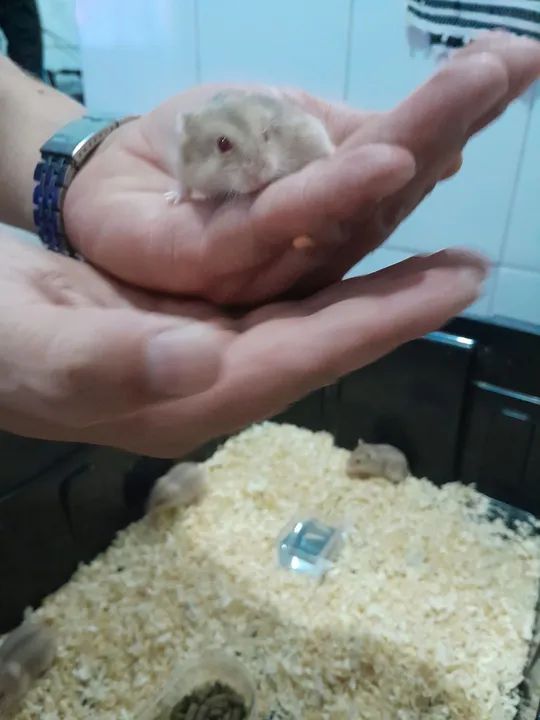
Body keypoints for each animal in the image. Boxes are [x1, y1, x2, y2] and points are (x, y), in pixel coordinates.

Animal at [165, 90, 335, 204]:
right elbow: (184, 187)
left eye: (266, 134)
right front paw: (172, 199)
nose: (260, 181)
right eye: (223, 143)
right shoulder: (182, 167)